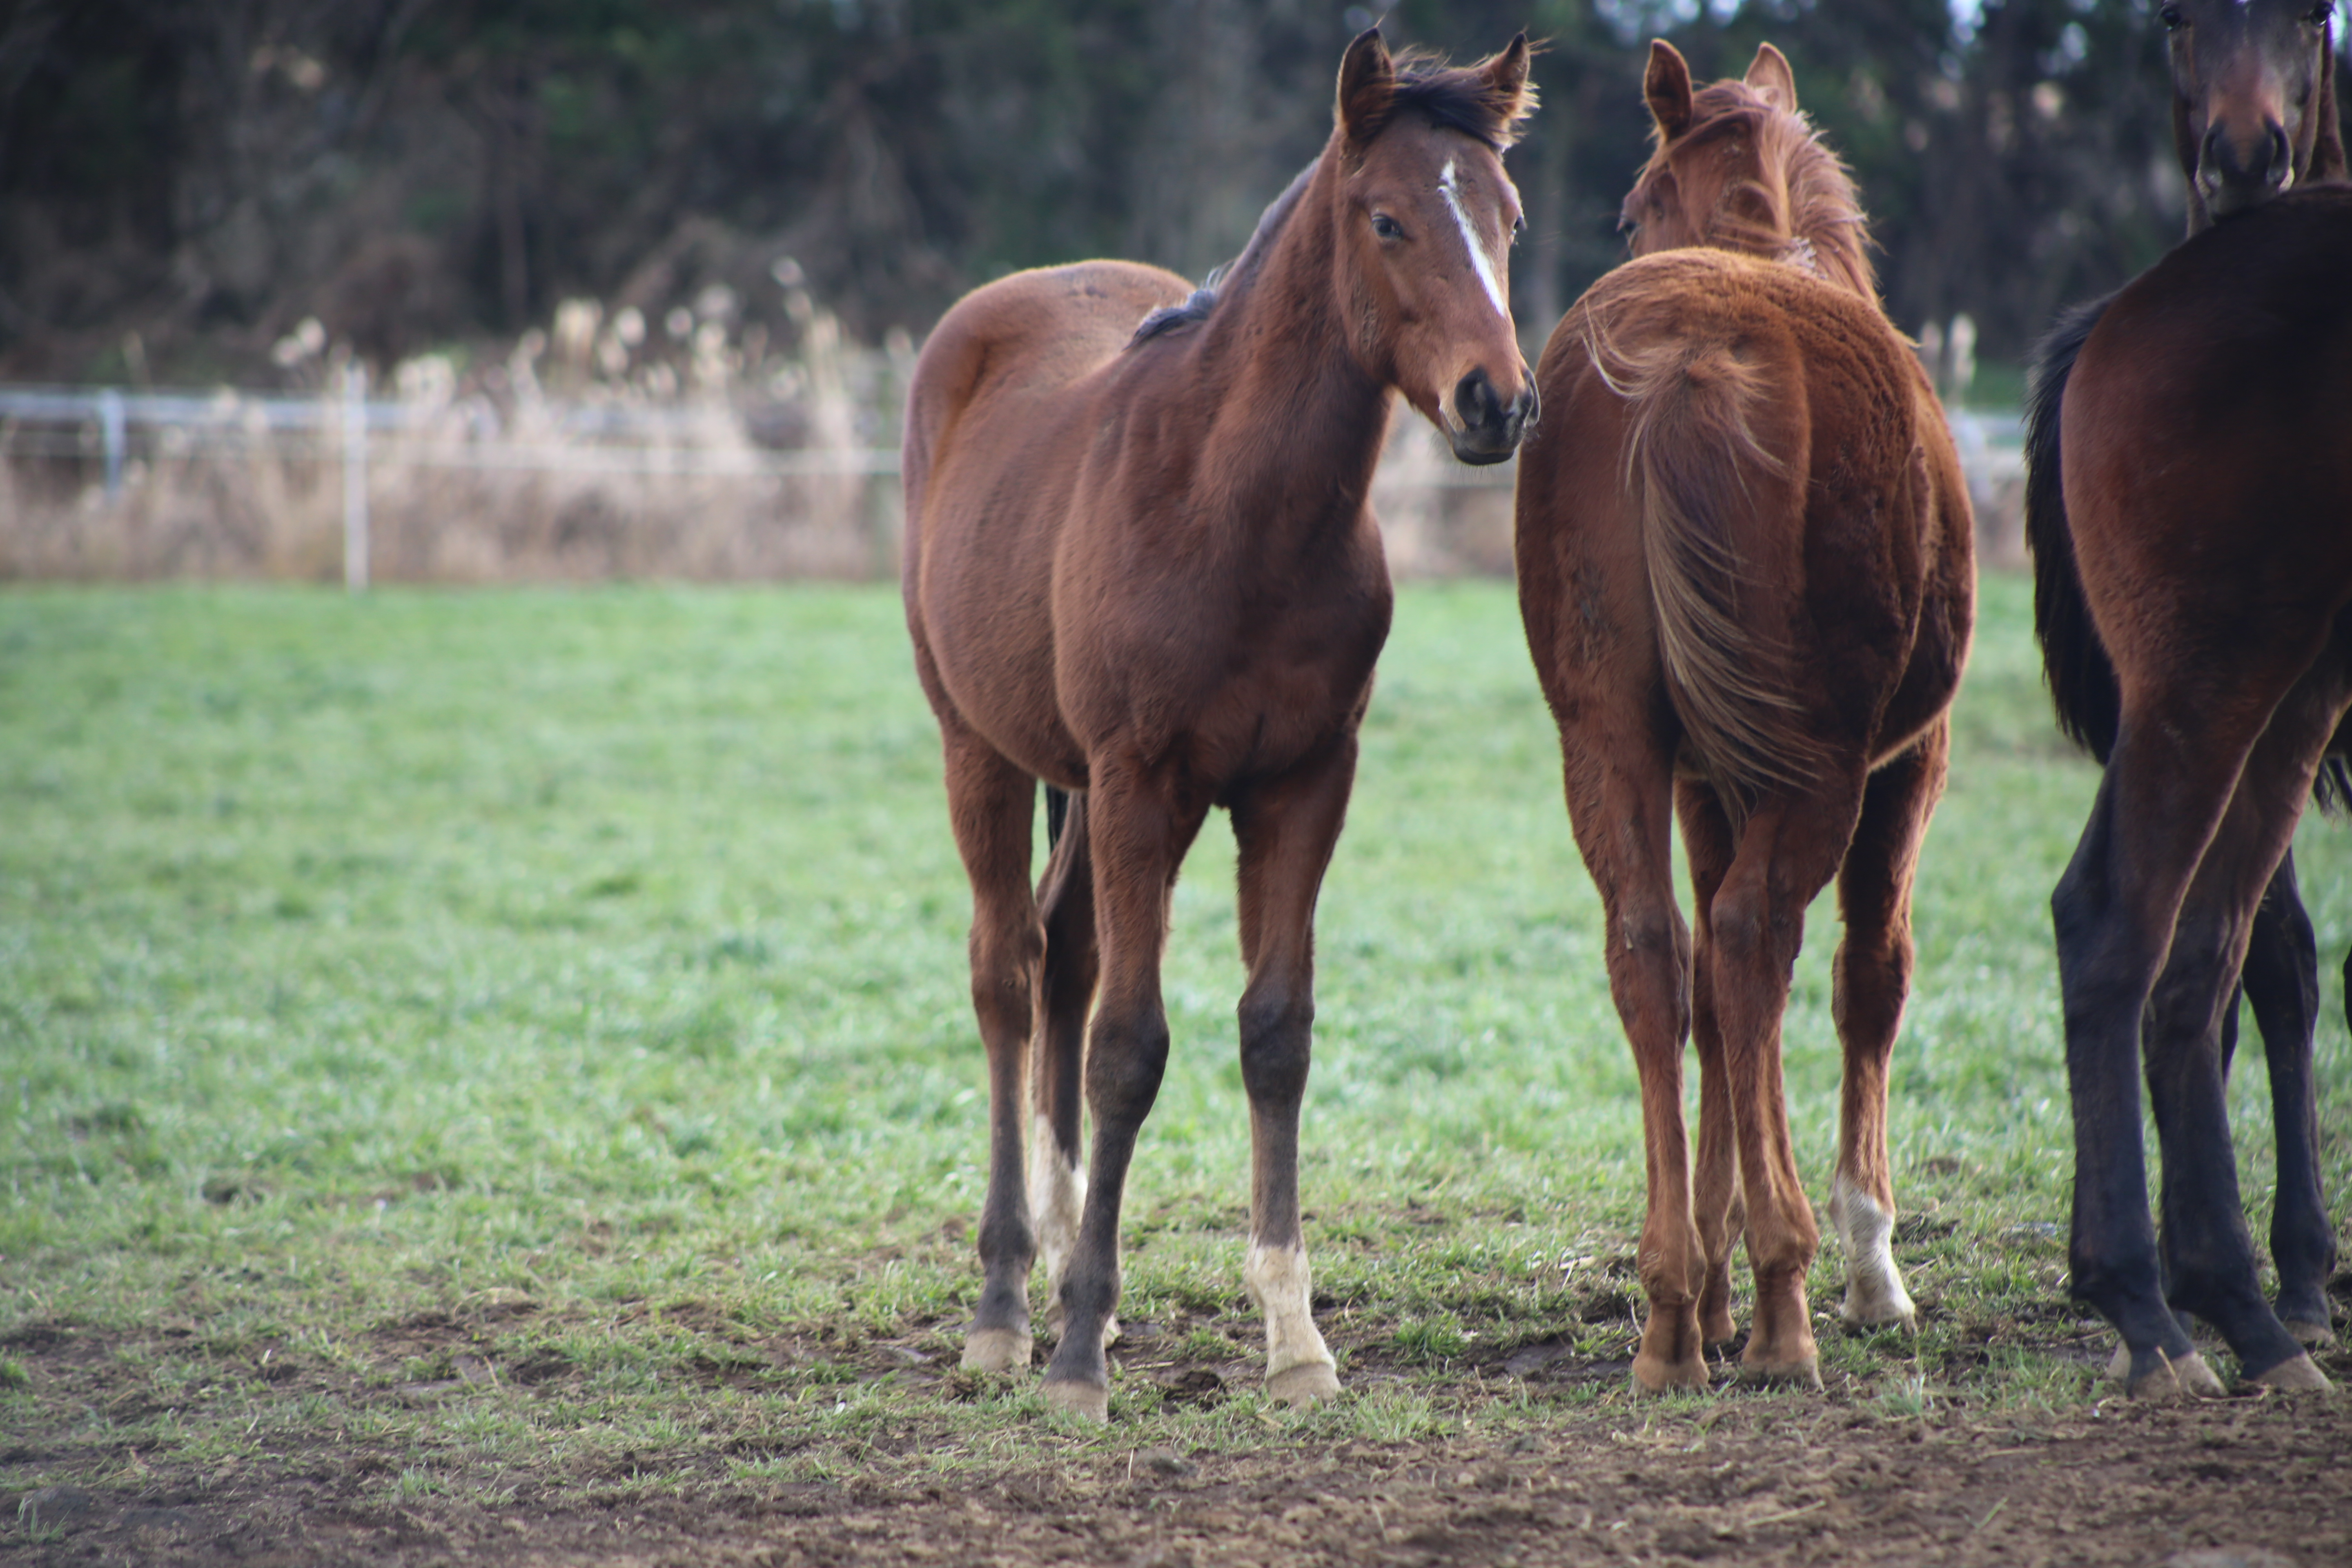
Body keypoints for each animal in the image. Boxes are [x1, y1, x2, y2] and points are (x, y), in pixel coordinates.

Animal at [903, 31, 1543, 1420]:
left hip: (1098, 790)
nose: (1498, 402)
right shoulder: (1143, 779)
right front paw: (1077, 1357)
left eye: (1510, 217)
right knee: (1008, 971)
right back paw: (1008, 1301)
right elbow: (1130, 1047)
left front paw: (1294, 1337)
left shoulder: (1301, 781)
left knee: (1064, 949)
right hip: (983, 751)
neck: (1234, 509)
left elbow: (1274, 1034)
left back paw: (1071, 1260)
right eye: (1388, 218)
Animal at [1515, 46, 1976, 1401]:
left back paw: (1678, 1311)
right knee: (1753, 940)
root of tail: (1690, 362)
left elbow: (1711, 1020)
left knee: (1659, 952)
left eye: (1626, 213)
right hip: (1823, 768)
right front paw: (1870, 1269)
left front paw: (1709, 1281)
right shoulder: (1906, 766)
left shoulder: (1699, 777)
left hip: (1609, 742)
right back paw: (1784, 1299)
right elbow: (1869, 979)